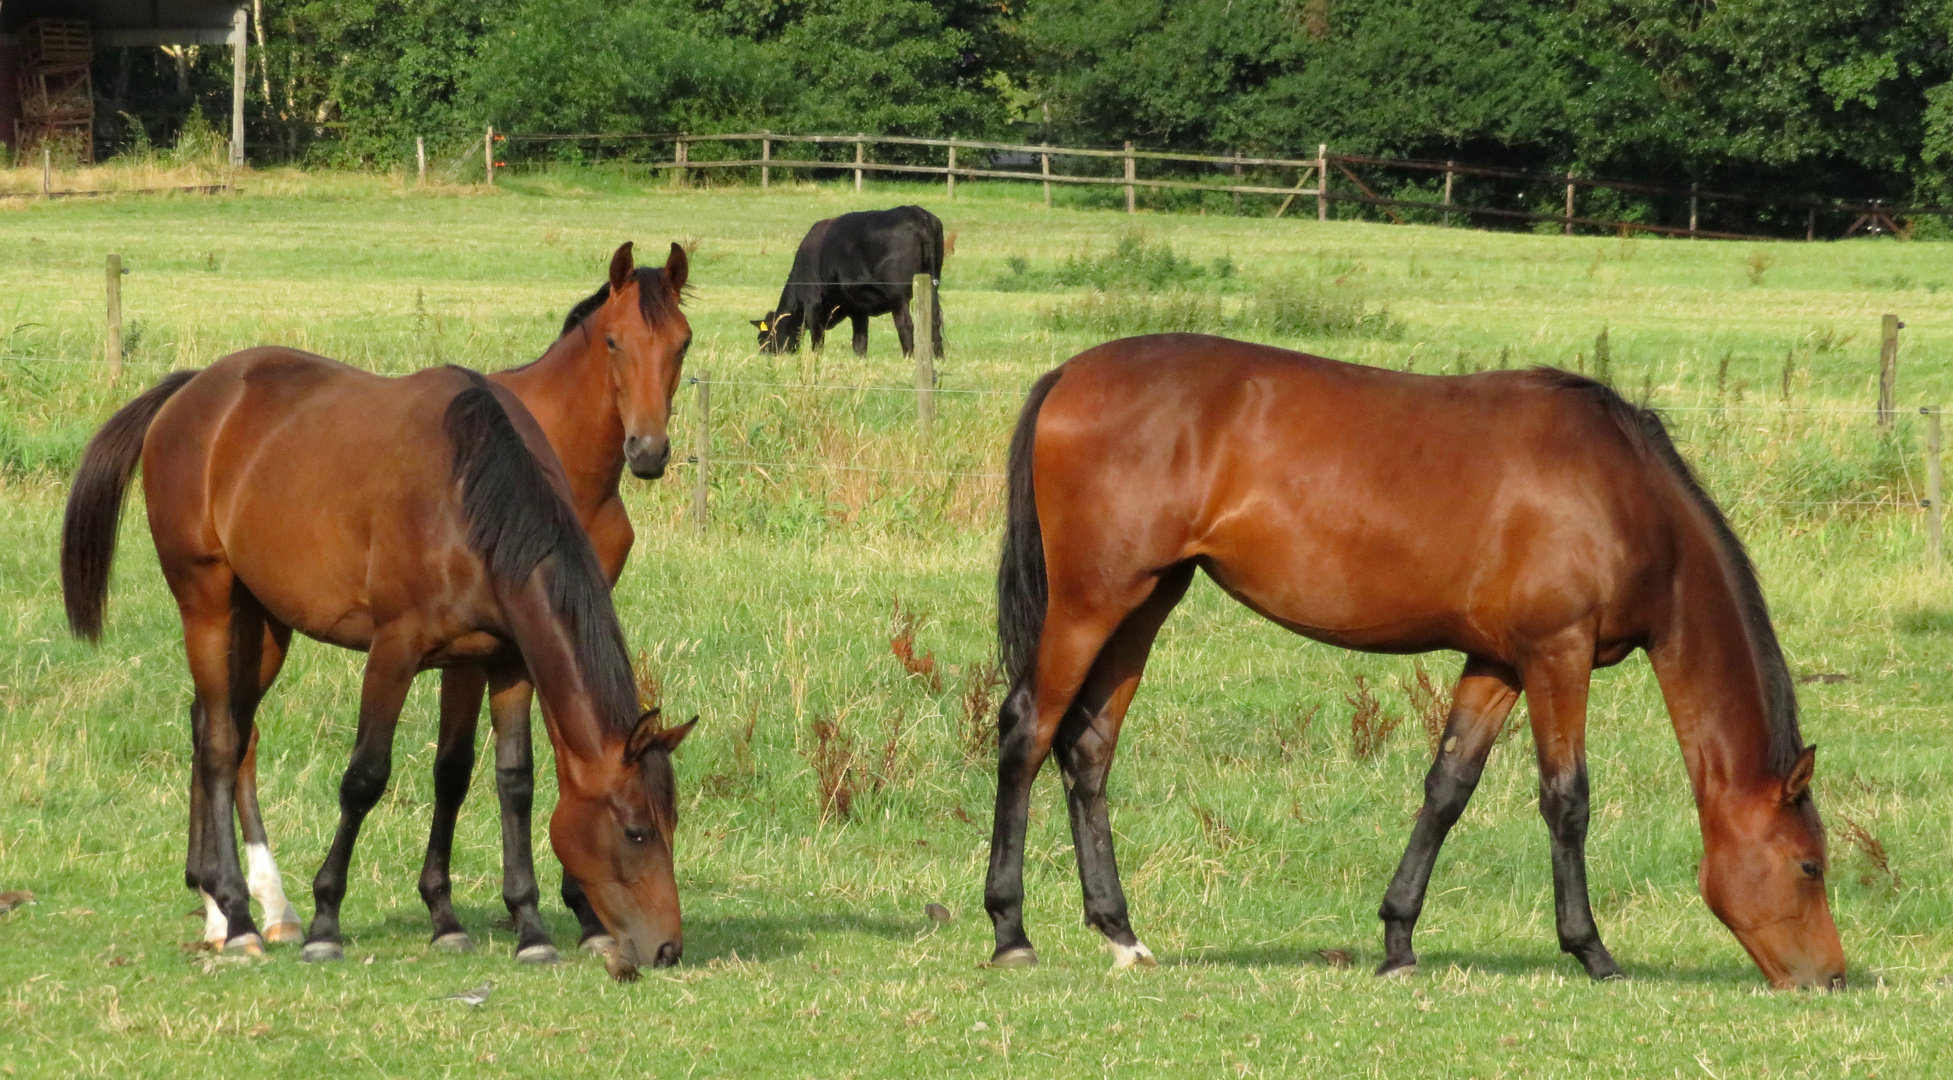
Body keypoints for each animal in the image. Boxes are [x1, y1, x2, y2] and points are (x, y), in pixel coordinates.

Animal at [64, 355, 695, 976]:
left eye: (671, 826)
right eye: (637, 832)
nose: (667, 949)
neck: (471, 496)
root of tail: (191, 388)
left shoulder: (505, 660)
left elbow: (509, 781)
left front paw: (525, 929)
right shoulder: (395, 649)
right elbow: (365, 777)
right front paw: (326, 924)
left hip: (263, 621)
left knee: (221, 728)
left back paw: (226, 905)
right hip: (208, 604)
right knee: (221, 742)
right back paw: (239, 917)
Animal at [749, 207, 941, 359]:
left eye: (763, 337)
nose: (763, 354)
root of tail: (915, 211)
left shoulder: (812, 305)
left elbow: (817, 340)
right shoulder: (858, 309)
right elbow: (859, 342)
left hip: (898, 296)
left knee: (906, 325)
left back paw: (909, 356)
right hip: (931, 285)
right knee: (934, 320)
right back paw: (938, 357)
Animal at [992, 333, 1843, 984]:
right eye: (1809, 867)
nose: (1828, 978)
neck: (1624, 496)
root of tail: (1069, 373)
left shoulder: (1496, 663)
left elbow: (1446, 790)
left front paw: (1398, 941)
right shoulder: (1556, 655)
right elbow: (1566, 800)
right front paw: (1591, 951)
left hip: (1145, 601)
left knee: (1089, 748)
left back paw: (1120, 933)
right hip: (1091, 603)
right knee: (1027, 732)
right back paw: (1009, 932)